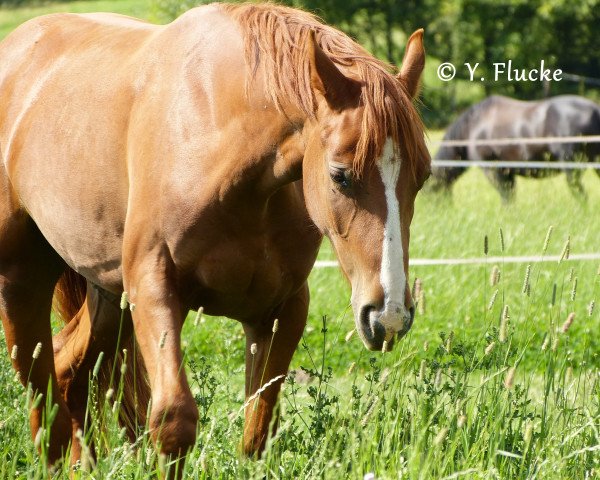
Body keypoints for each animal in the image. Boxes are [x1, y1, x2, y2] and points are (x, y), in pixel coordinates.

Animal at [0, 2, 432, 476]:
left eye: (423, 176)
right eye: (340, 175)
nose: (388, 317)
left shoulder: (280, 310)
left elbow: (259, 430)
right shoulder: (154, 288)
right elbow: (173, 421)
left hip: (109, 295)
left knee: (68, 370)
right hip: (24, 279)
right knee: (41, 387)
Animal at [434, 95, 596, 201]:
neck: (474, 126)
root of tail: (595, 110)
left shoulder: (494, 170)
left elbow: (507, 197)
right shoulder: (508, 172)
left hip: (572, 169)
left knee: (580, 195)